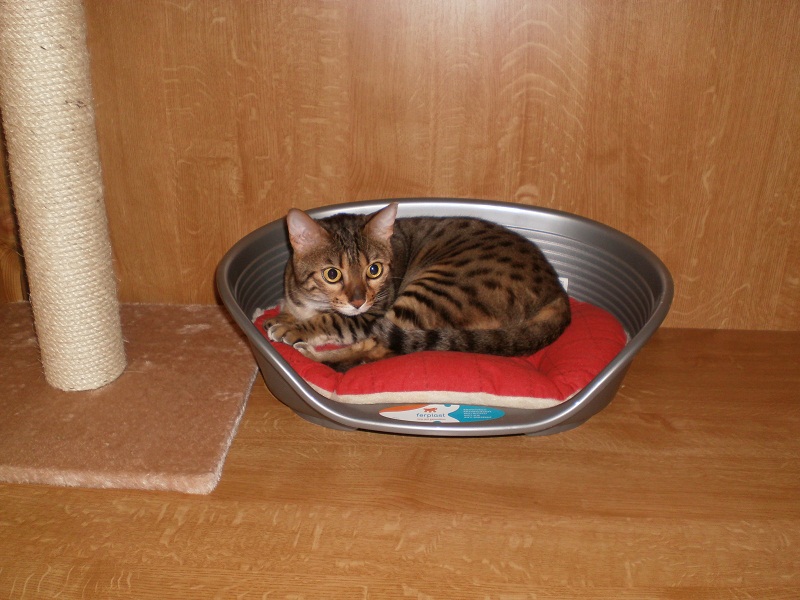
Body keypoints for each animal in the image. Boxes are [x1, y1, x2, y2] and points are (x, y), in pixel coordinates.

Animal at [263, 203, 571, 371]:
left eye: (374, 270)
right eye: (332, 274)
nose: (358, 301)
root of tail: (557, 292)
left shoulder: (371, 313)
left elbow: (333, 320)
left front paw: (294, 328)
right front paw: (282, 317)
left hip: (434, 291)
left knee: (379, 349)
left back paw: (312, 356)